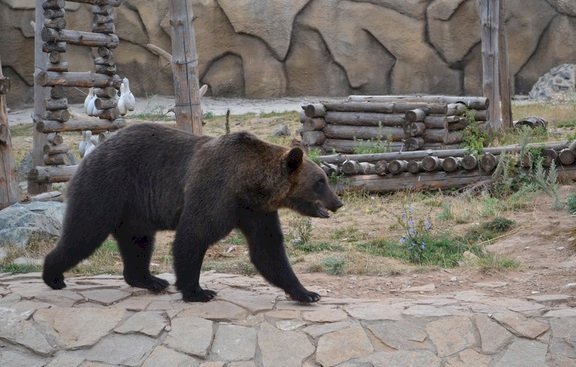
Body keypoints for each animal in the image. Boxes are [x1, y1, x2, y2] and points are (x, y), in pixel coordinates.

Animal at [45, 122, 344, 304]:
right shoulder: (215, 191)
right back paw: (54, 276)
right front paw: (199, 291)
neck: (249, 184)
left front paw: (307, 292)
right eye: (320, 181)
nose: (338, 202)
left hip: (135, 208)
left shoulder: (255, 211)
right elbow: (193, 236)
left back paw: (151, 280)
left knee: (138, 241)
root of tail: (90, 155)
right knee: (85, 231)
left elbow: (268, 250)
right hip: (108, 187)